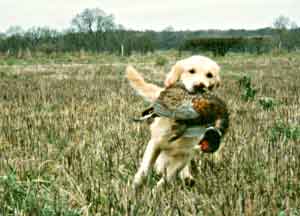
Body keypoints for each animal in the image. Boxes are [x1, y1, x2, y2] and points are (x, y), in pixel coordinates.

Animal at [125, 55, 221, 189]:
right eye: (191, 71)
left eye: (209, 75)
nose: (200, 86)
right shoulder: (155, 144)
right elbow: (145, 169)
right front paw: (135, 188)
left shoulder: (184, 153)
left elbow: (168, 177)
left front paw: (156, 191)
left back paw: (187, 178)